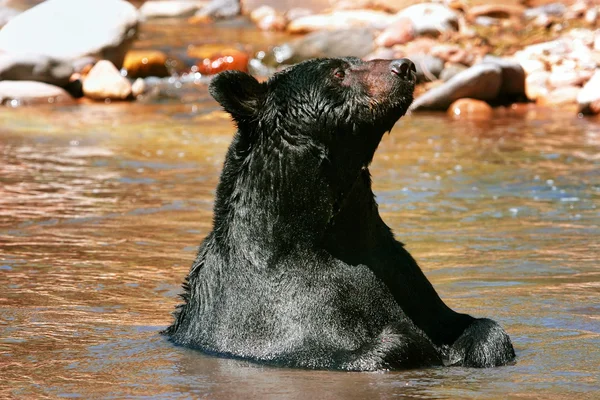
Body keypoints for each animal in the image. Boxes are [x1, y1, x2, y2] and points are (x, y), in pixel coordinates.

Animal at [165, 57, 516, 370]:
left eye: (357, 60)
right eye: (338, 72)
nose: (404, 65)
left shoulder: (397, 272)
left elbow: (470, 326)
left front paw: (479, 348)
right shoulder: (268, 314)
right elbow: (361, 345)